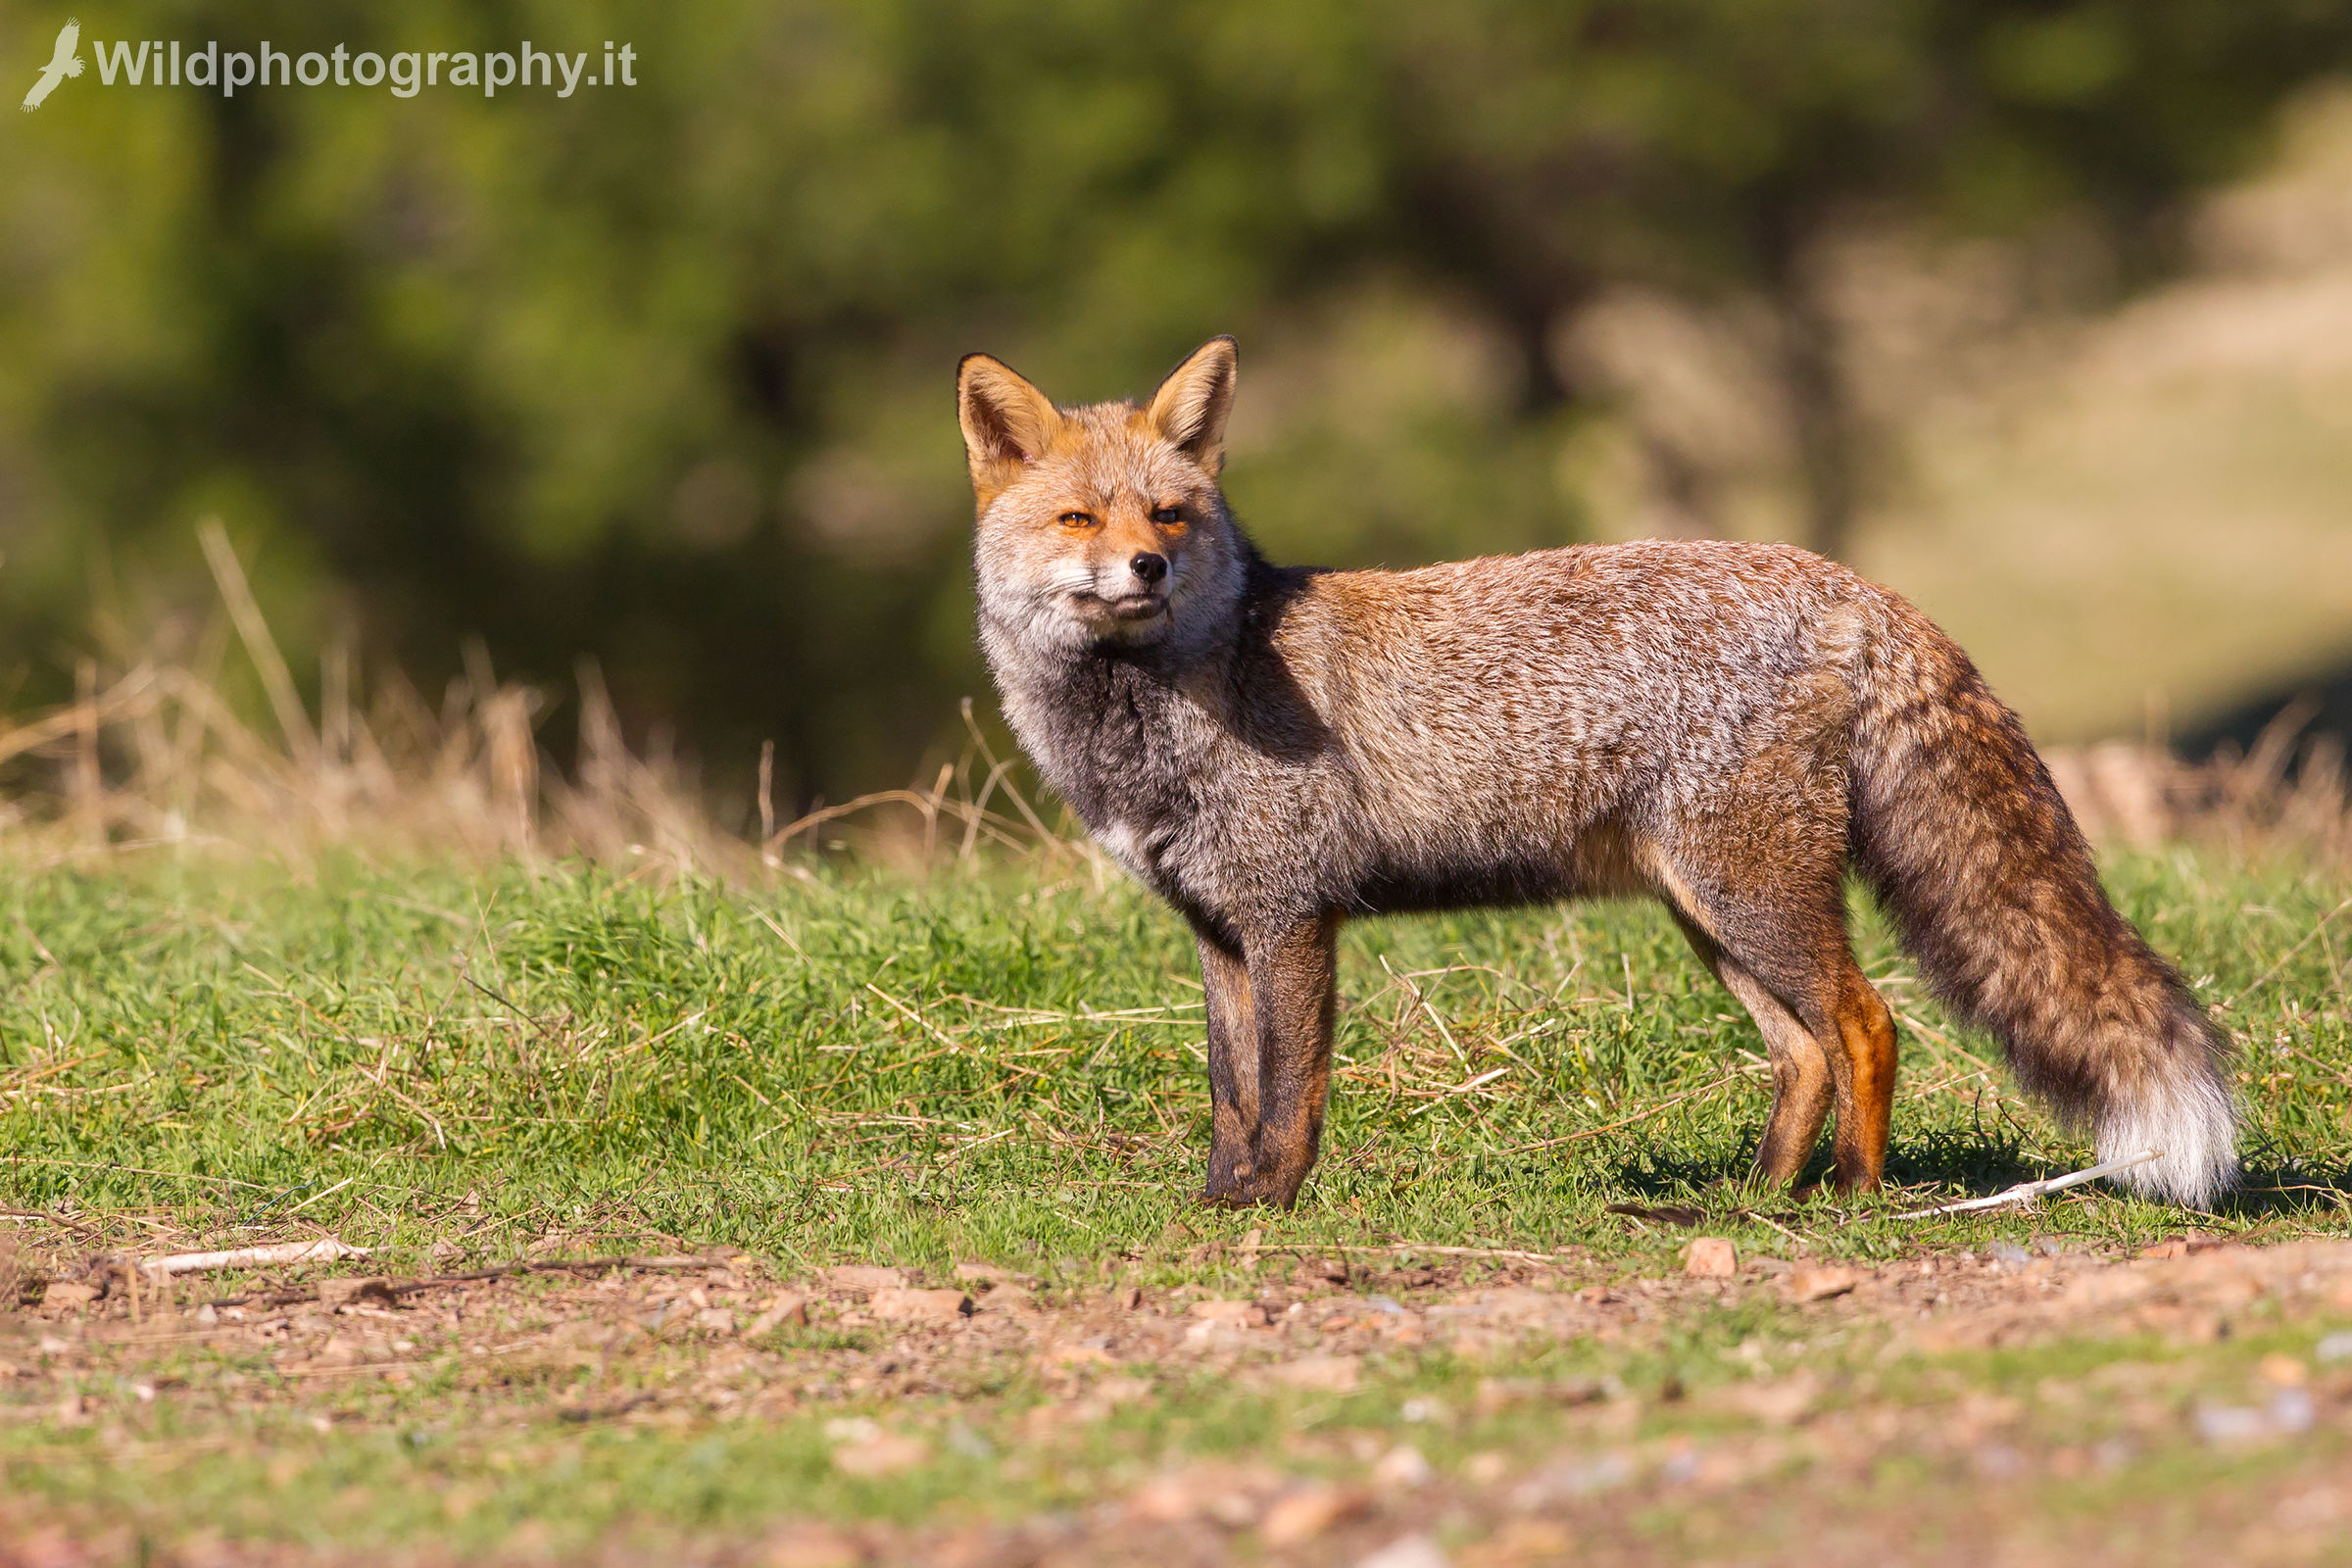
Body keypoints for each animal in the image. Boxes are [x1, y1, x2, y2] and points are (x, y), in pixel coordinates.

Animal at [956, 334, 2238, 1212]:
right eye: (1080, 519)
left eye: (1170, 513)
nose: (1149, 569)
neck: (1164, 706)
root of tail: (1851, 584)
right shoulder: (1219, 927)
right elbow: (1230, 1089)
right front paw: (1223, 1204)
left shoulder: (1292, 916)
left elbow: (1288, 1092)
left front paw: (1274, 1201)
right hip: (1709, 914)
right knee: (1804, 1052)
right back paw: (1756, 1198)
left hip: (1752, 899)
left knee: (1867, 1025)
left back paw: (1850, 1198)